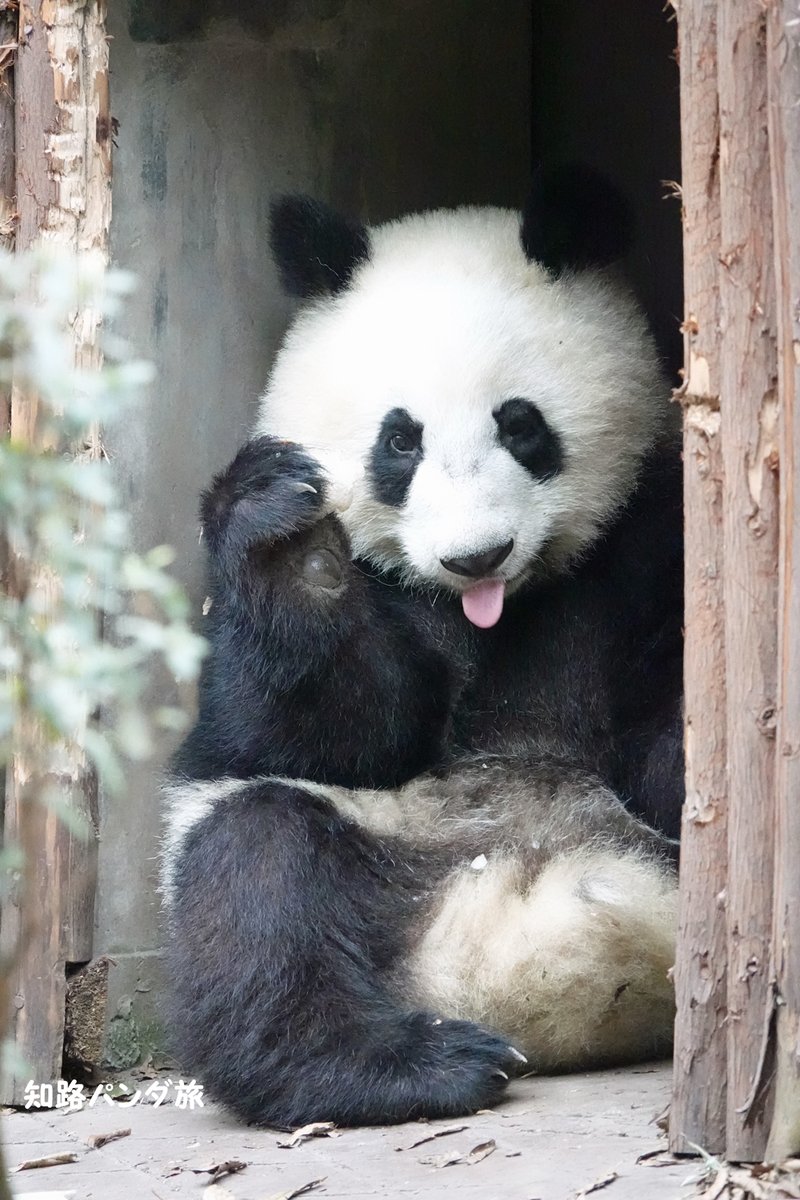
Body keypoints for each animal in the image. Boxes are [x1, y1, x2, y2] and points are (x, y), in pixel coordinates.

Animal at [162, 168, 684, 1129]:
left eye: (521, 425)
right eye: (399, 440)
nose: (476, 557)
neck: (496, 612)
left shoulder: (644, 535)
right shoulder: (374, 601)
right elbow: (311, 731)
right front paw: (293, 547)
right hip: (374, 849)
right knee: (255, 876)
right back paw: (404, 1066)